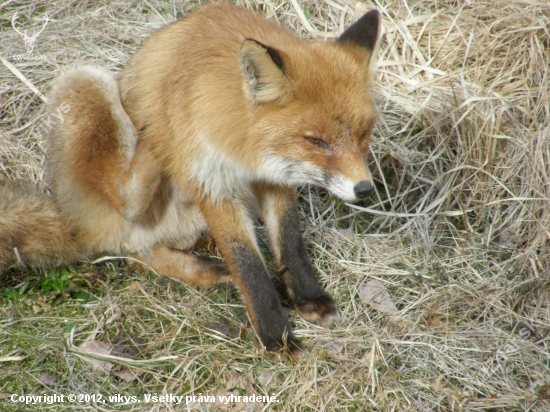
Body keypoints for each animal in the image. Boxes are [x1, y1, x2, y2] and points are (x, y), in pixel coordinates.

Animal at [0, 2, 382, 354]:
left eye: (364, 134)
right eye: (316, 141)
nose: (364, 189)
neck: (243, 147)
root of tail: (69, 218)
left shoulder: (275, 178)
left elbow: (290, 243)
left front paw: (309, 299)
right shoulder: (213, 185)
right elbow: (249, 266)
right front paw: (277, 337)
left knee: (139, 250)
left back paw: (206, 268)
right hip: (87, 81)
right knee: (125, 220)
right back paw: (151, 141)